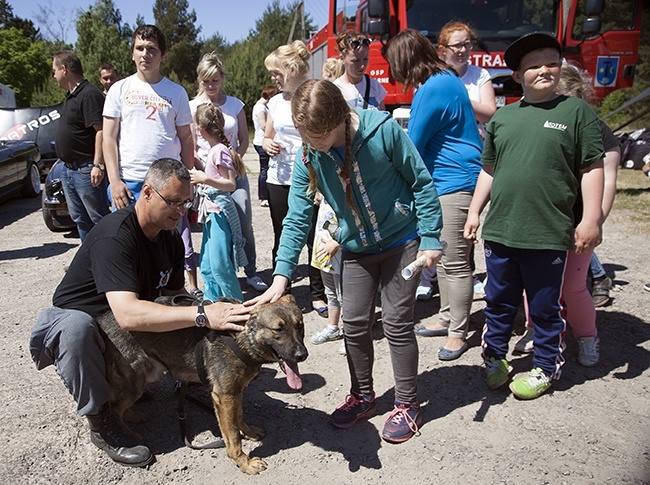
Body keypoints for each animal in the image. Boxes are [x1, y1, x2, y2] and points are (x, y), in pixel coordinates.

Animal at [97, 292, 308, 472]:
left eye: (300, 326)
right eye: (278, 329)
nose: (302, 355)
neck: (242, 337)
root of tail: (100, 322)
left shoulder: (235, 392)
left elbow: (239, 417)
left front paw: (248, 432)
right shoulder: (224, 397)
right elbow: (232, 436)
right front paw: (244, 463)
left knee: (117, 406)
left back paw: (132, 415)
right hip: (135, 383)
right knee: (113, 408)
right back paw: (129, 435)